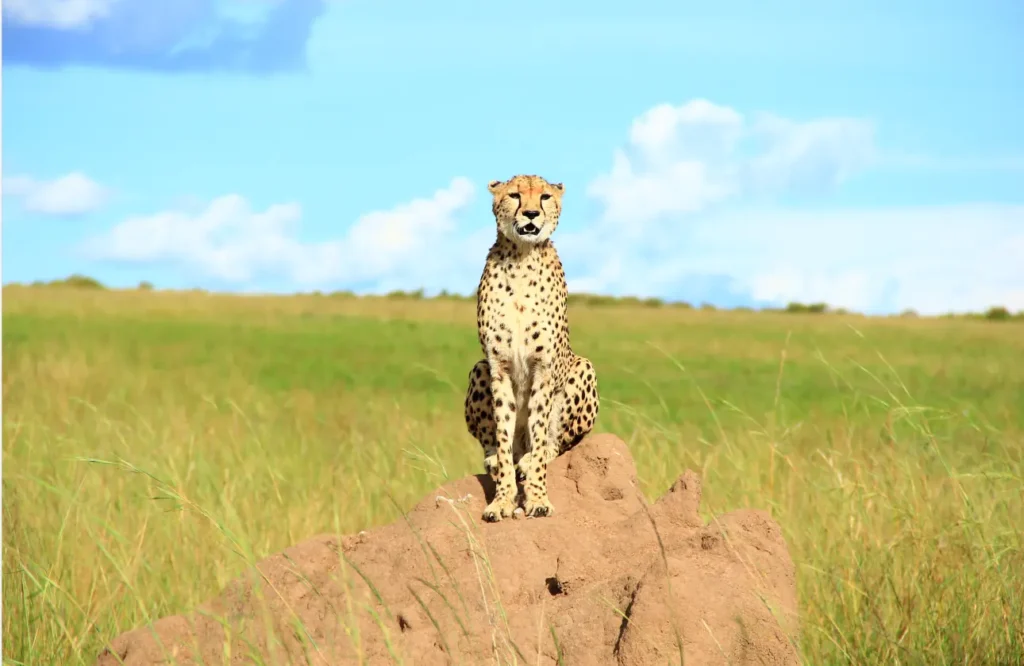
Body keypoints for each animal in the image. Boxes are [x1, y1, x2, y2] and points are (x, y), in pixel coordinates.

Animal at [463, 174, 600, 522]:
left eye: (545, 197)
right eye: (514, 195)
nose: (530, 214)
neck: (521, 258)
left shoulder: (543, 368)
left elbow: (540, 434)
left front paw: (537, 498)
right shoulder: (498, 368)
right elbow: (502, 435)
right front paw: (502, 500)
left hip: (583, 367)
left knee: (555, 443)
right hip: (479, 369)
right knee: (497, 446)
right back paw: (496, 459)